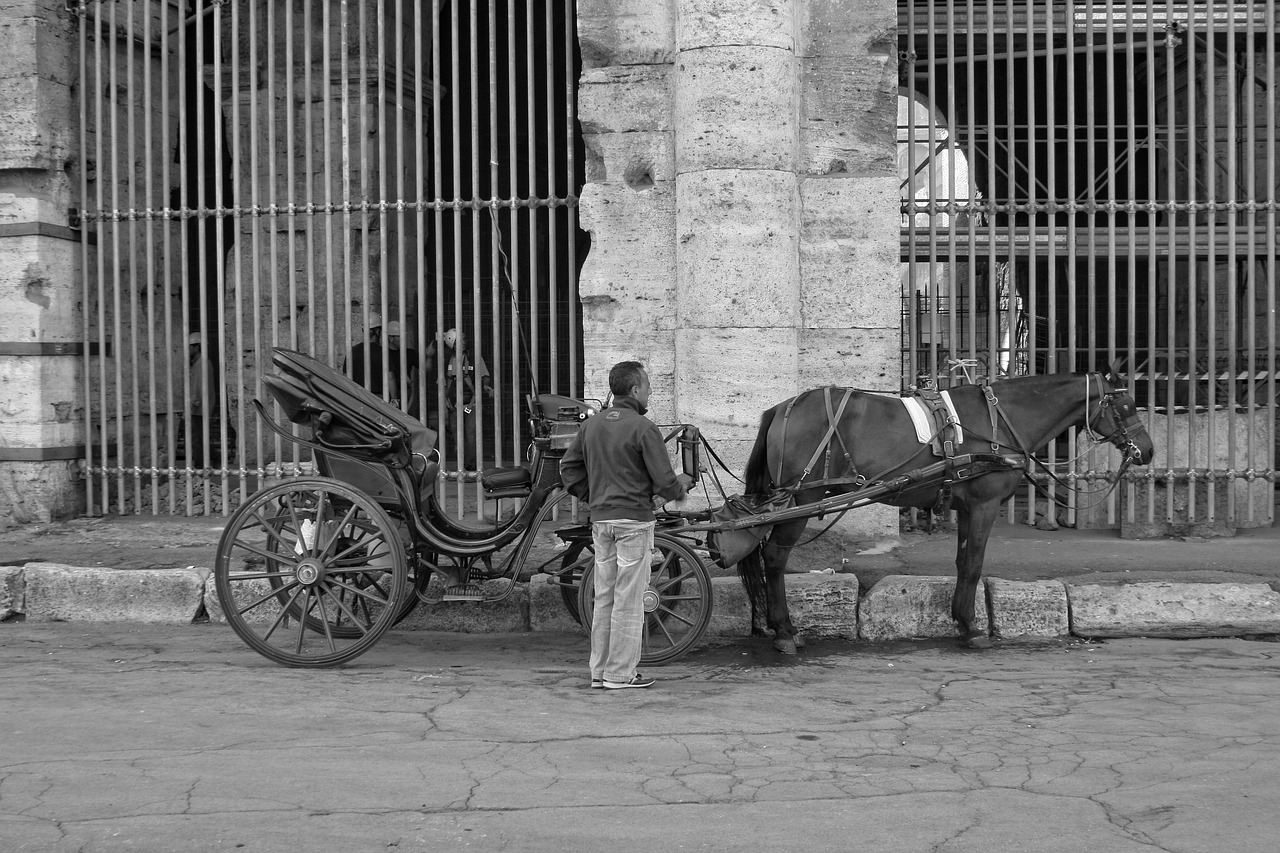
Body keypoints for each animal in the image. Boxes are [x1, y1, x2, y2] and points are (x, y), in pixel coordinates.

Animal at [737, 366, 1157, 650]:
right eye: (1125, 405)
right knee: (774, 557)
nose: (1148, 451)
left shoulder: (968, 506)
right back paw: (784, 630)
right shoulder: (985, 504)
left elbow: (962, 561)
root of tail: (782, 408)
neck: (1000, 420)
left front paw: (961, 619)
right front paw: (972, 628)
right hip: (802, 498)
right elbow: (973, 563)